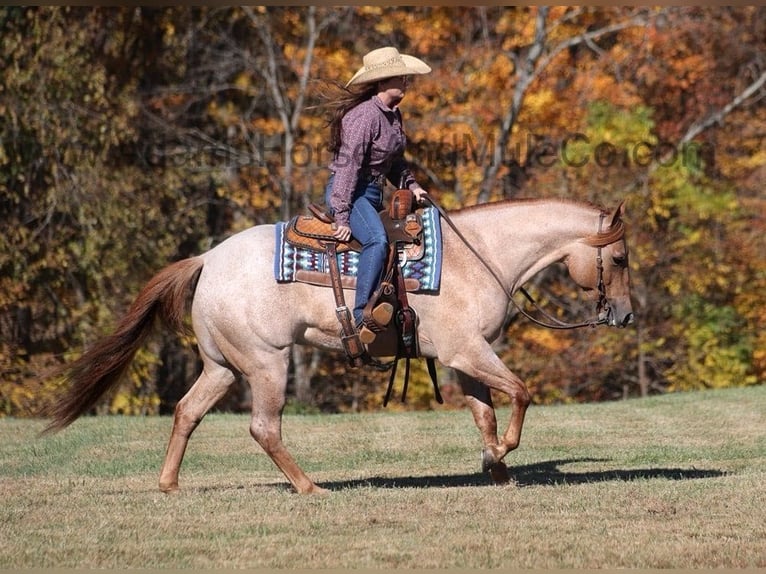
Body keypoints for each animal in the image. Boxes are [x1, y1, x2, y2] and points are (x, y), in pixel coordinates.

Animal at [46, 199, 636, 496]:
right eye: (621, 258)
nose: (626, 315)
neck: (482, 254)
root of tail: (207, 259)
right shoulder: (466, 352)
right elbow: (521, 392)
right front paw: (503, 454)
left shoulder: (465, 359)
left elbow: (485, 413)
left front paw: (497, 469)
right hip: (267, 364)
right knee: (263, 428)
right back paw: (310, 488)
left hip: (221, 367)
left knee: (187, 412)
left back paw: (169, 484)